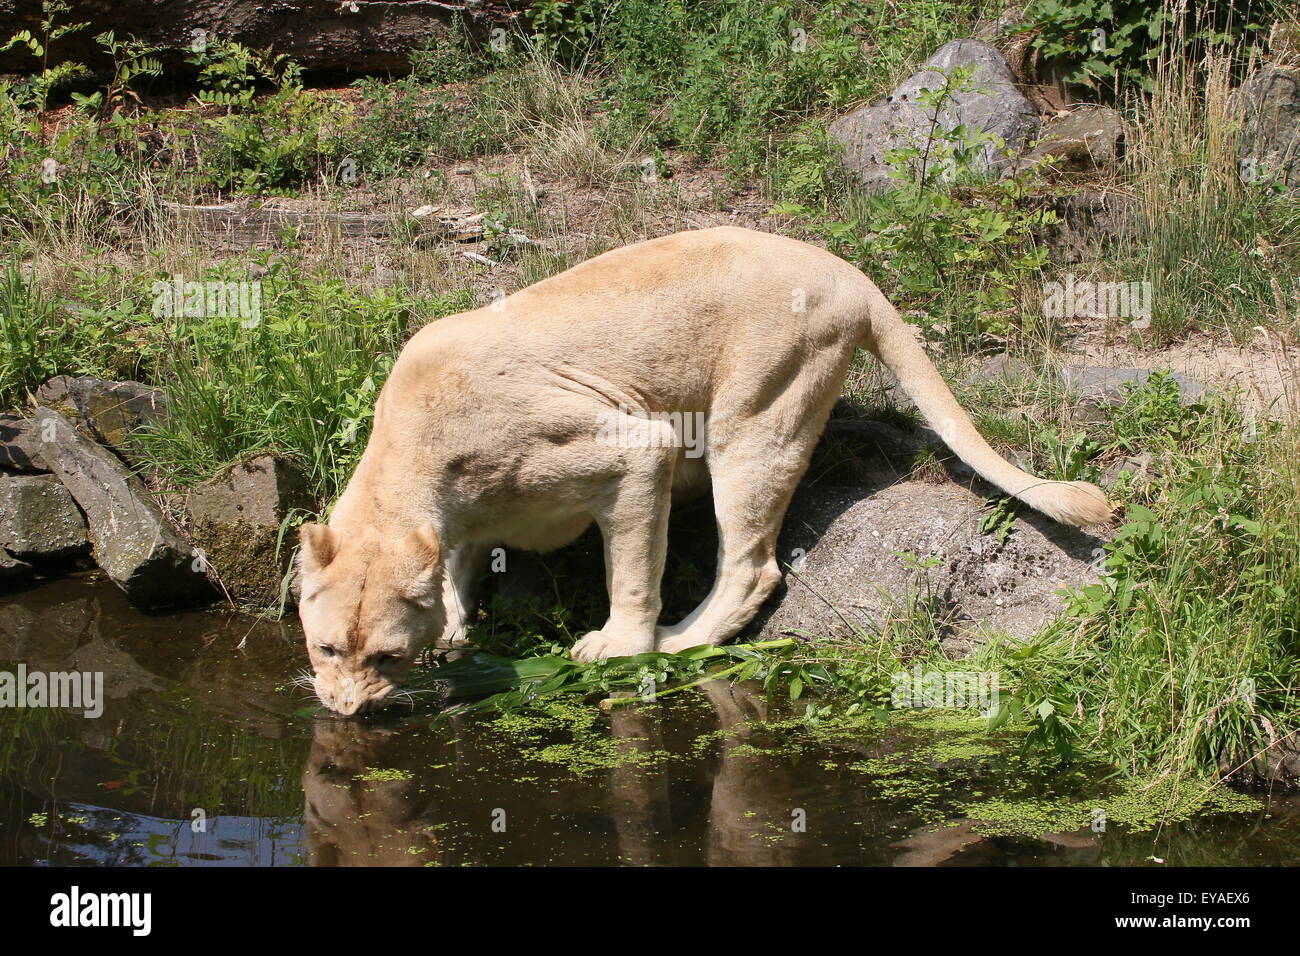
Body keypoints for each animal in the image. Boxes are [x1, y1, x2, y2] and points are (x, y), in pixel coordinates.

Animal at [297, 227, 1110, 715]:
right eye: (326, 646)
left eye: (388, 655)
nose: (345, 710)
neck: (412, 472)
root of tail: (851, 272)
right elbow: (457, 570)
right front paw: (459, 628)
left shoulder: (628, 448)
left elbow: (629, 568)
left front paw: (614, 647)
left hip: (756, 413)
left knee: (752, 565)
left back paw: (678, 640)